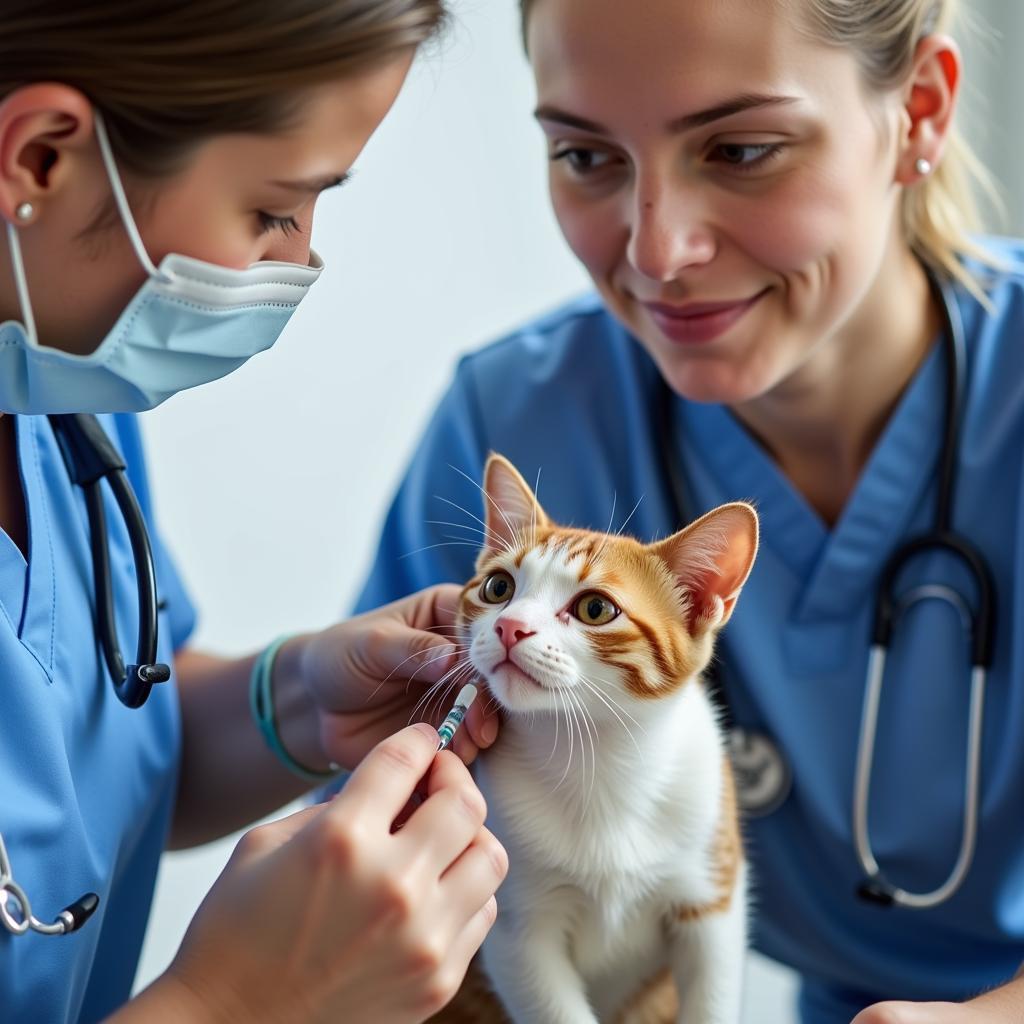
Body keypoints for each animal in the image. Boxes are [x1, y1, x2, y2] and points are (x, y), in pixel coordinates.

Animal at [428, 454, 757, 1024]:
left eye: (595, 609)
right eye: (498, 588)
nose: (510, 627)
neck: (598, 760)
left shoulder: (711, 904)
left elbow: (711, 992)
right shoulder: (520, 931)